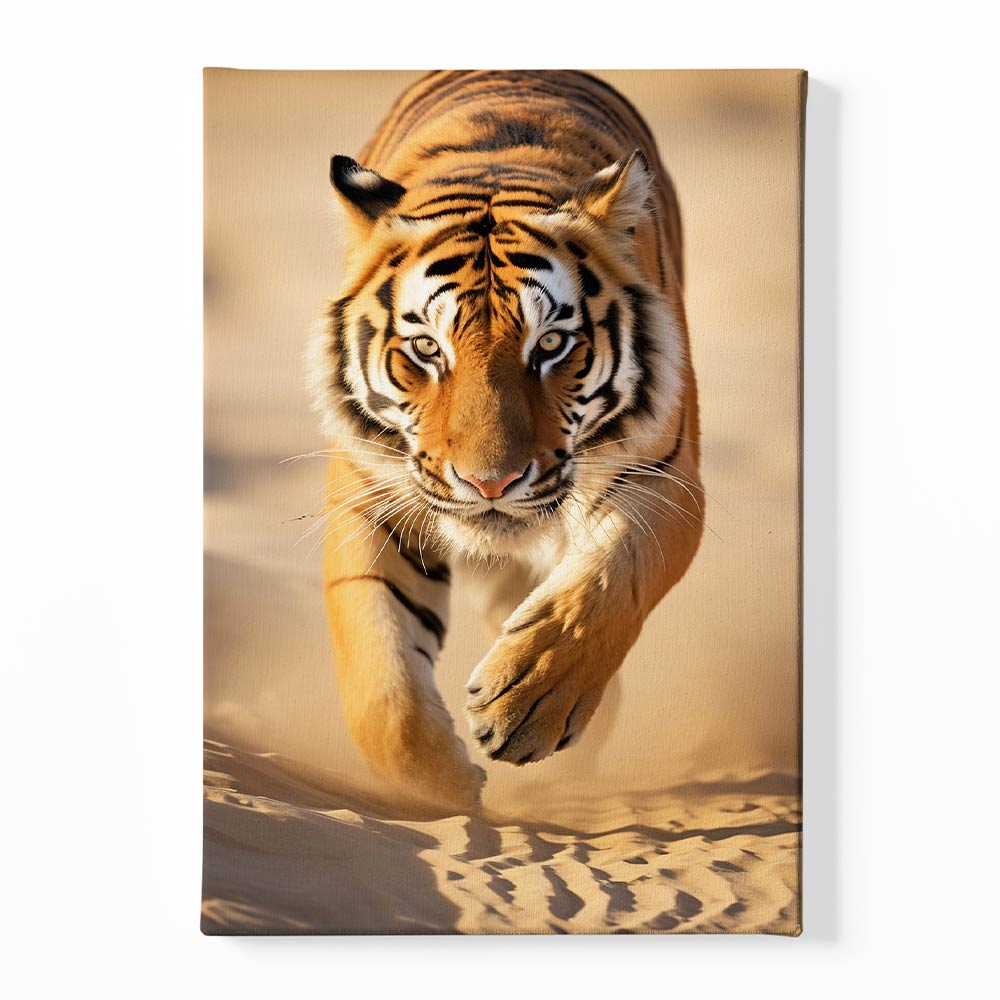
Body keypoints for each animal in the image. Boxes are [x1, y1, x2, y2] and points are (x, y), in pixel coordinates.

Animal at [307, 70, 703, 809]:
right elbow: (381, 686)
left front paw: (527, 704)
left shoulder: (664, 477)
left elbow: (605, 585)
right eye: (426, 349)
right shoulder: (370, 495)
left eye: (549, 345)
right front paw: (449, 785)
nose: (489, 482)